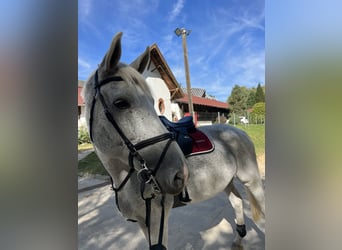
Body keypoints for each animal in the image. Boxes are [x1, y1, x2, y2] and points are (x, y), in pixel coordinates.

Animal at [82, 32, 264, 249]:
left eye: (153, 102)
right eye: (120, 103)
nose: (180, 174)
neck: (125, 176)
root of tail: (239, 132)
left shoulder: (157, 220)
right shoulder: (144, 222)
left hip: (252, 180)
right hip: (226, 182)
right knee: (237, 202)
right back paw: (238, 238)